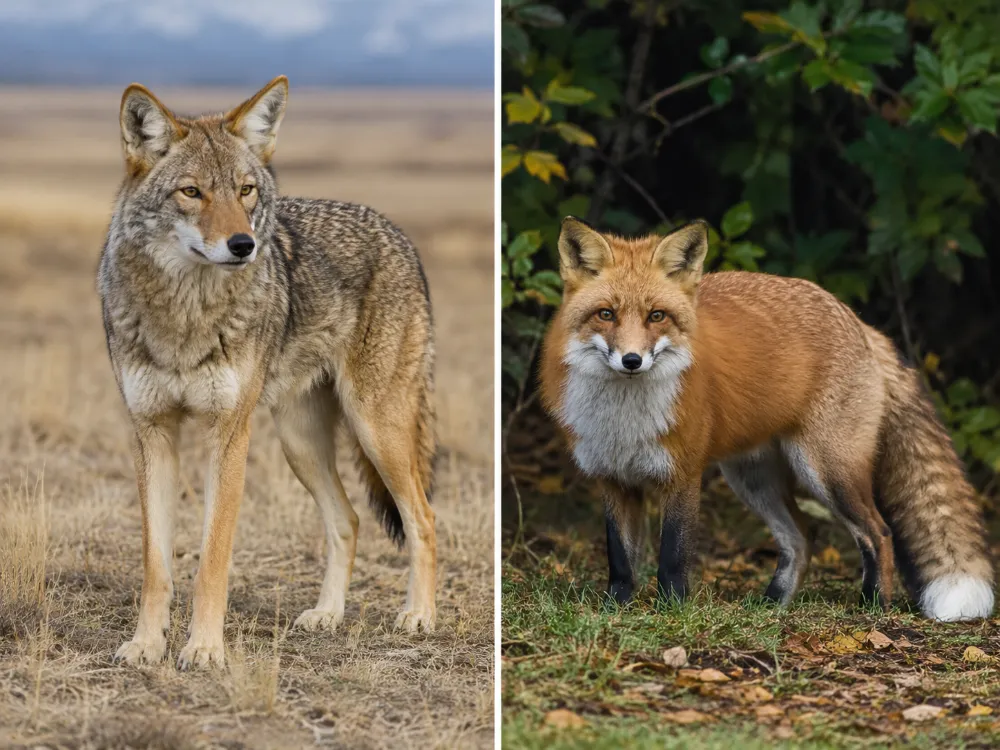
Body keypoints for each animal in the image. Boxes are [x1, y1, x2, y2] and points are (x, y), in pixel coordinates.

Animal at [98, 76, 437, 669]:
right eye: (192, 193)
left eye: (246, 190)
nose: (243, 245)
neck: (186, 316)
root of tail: (397, 233)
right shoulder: (151, 433)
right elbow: (156, 565)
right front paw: (146, 645)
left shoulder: (229, 434)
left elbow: (212, 560)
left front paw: (204, 649)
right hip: (299, 444)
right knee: (348, 521)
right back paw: (327, 615)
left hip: (378, 431)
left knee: (423, 520)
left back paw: (419, 616)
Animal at [539, 216, 994, 622]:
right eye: (606, 314)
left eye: (656, 316)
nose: (632, 360)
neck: (624, 419)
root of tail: (858, 321)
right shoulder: (612, 478)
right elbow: (620, 560)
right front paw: (613, 612)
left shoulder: (683, 474)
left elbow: (672, 557)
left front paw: (671, 613)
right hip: (754, 479)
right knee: (803, 538)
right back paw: (773, 605)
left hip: (827, 472)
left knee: (878, 532)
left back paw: (872, 608)